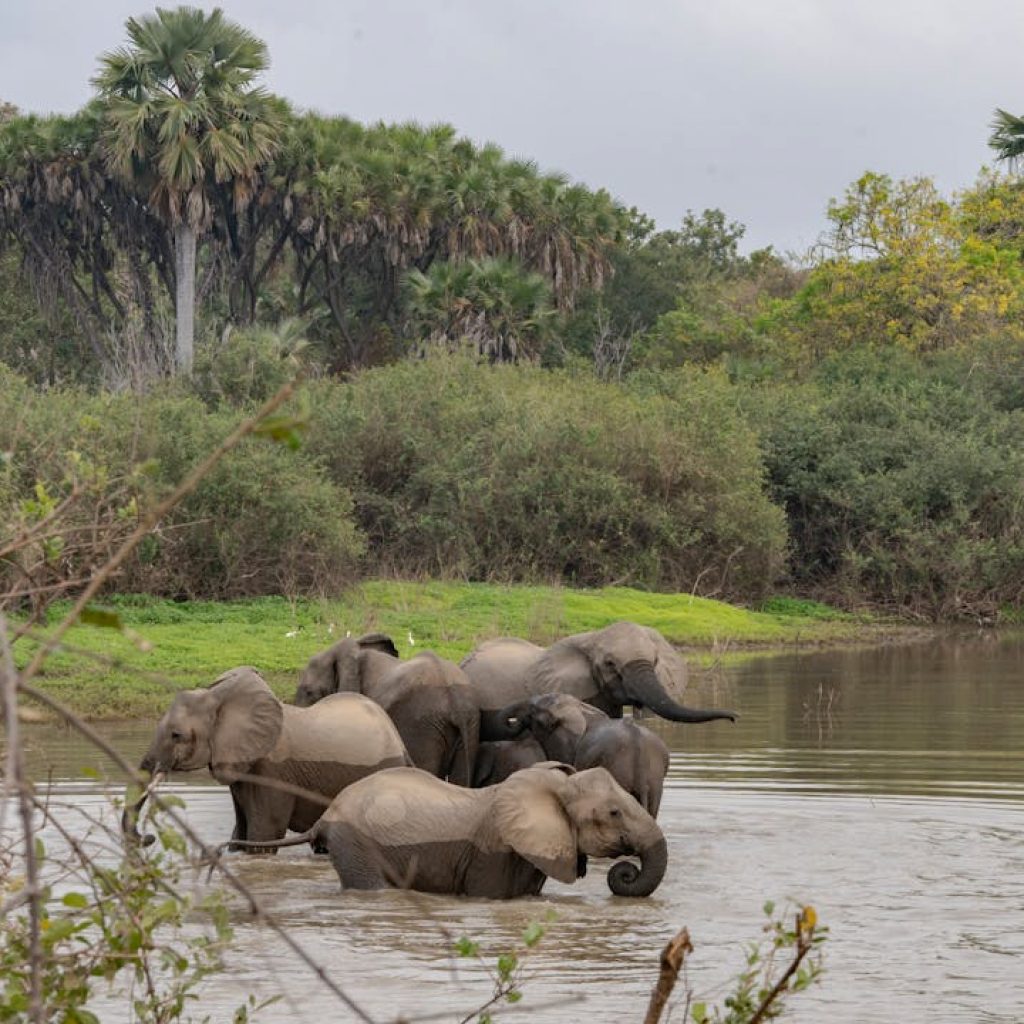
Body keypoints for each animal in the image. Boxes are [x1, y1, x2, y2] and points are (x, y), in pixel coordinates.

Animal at [122, 667, 409, 852]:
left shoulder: (272, 770)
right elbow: (241, 832)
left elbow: (264, 833)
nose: (148, 838)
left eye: (176, 735)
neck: (221, 700)